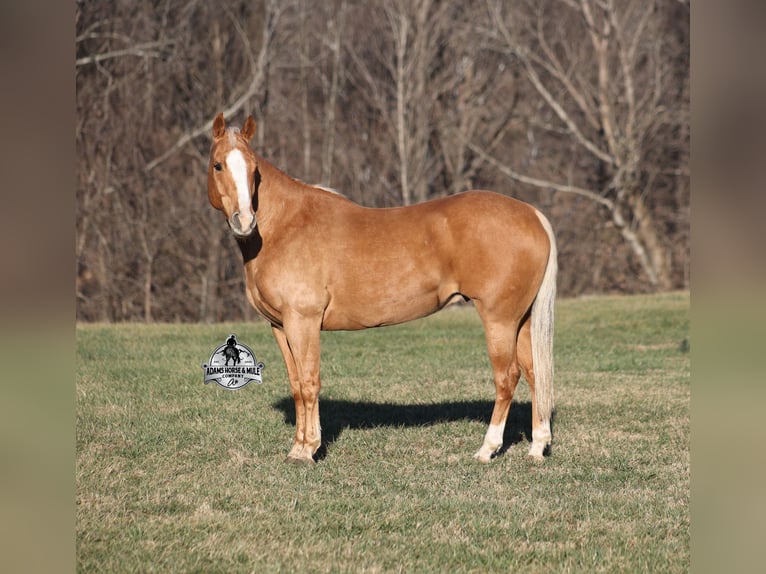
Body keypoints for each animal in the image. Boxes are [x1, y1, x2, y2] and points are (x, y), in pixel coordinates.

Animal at [207, 113, 557, 465]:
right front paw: (296, 449)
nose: (244, 221)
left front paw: (308, 450)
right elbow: (295, 384)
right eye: (218, 165)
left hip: (499, 320)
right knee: (534, 374)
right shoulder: (280, 326)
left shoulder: (303, 321)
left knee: (507, 378)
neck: (286, 225)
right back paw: (537, 448)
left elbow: (308, 383)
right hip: (521, 321)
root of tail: (532, 215)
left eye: (253, 169)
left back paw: (487, 449)